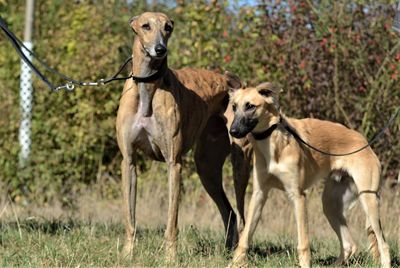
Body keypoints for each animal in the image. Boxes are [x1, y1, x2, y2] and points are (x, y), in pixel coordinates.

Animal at [114, 12, 242, 262]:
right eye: (145, 26)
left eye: (168, 27)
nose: (160, 49)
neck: (148, 86)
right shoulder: (129, 162)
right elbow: (129, 217)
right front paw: (127, 254)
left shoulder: (174, 163)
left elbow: (171, 221)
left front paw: (170, 258)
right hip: (207, 169)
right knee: (229, 212)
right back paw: (227, 252)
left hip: (241, 164)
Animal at [228, 82, 390, 266]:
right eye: (234, 107)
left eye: (250, 106)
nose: (233, 131)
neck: (274, 143)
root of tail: (364, 141)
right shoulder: (259, 194)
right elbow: (245, 237)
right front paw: (234, 263)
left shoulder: (298, 196)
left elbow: (303, 242)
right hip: (330, 205)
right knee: (350, 245)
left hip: (368, 200)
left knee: (383, 244)